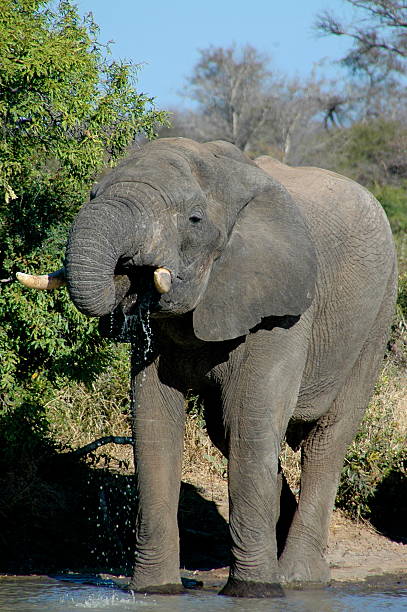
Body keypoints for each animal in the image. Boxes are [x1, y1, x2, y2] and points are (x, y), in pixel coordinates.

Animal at [17, 137, 396, 596]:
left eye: (194, 220)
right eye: (92, 194)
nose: (129, 270)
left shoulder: (283, 310)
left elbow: (251, 421)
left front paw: (254, 592)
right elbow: (154, 423)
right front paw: (155, 591)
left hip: (376, 317)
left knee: (325, 438)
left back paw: (297, 578)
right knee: (225, 430)